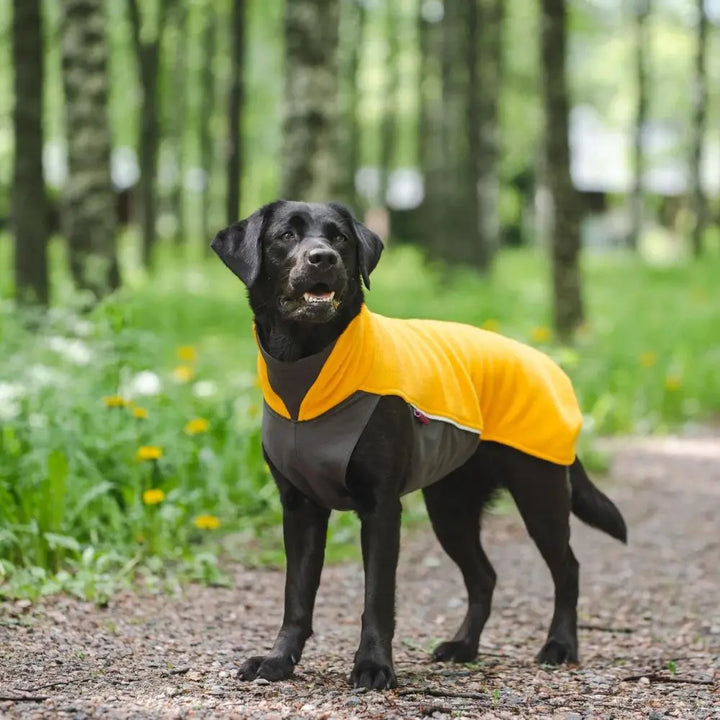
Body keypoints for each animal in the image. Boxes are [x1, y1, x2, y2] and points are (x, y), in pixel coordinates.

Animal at [211, 200, 628, 688]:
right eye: (285, 236)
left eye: (340, 239)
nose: (322, 259)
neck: (310, 368)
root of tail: (549, 367)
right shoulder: (299, 507)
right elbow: (296, 596)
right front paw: (278, 661)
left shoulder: (381, 508)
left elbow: (377, 598)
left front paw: (373, 666)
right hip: (449, 508)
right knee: (484, 577)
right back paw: (464, 646)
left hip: (538, 492)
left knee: (567, 570)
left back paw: (559, 646)